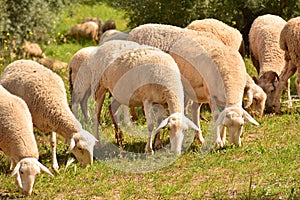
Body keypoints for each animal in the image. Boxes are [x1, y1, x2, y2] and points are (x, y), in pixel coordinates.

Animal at [127, 24, 258, 148]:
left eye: (242, 125)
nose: (235, 145)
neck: (231, 74)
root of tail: (135, 30)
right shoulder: (211, 96)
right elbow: (216, 117)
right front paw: (218, 142)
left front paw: (223, 138)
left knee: (193, 110)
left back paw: (198, 138)